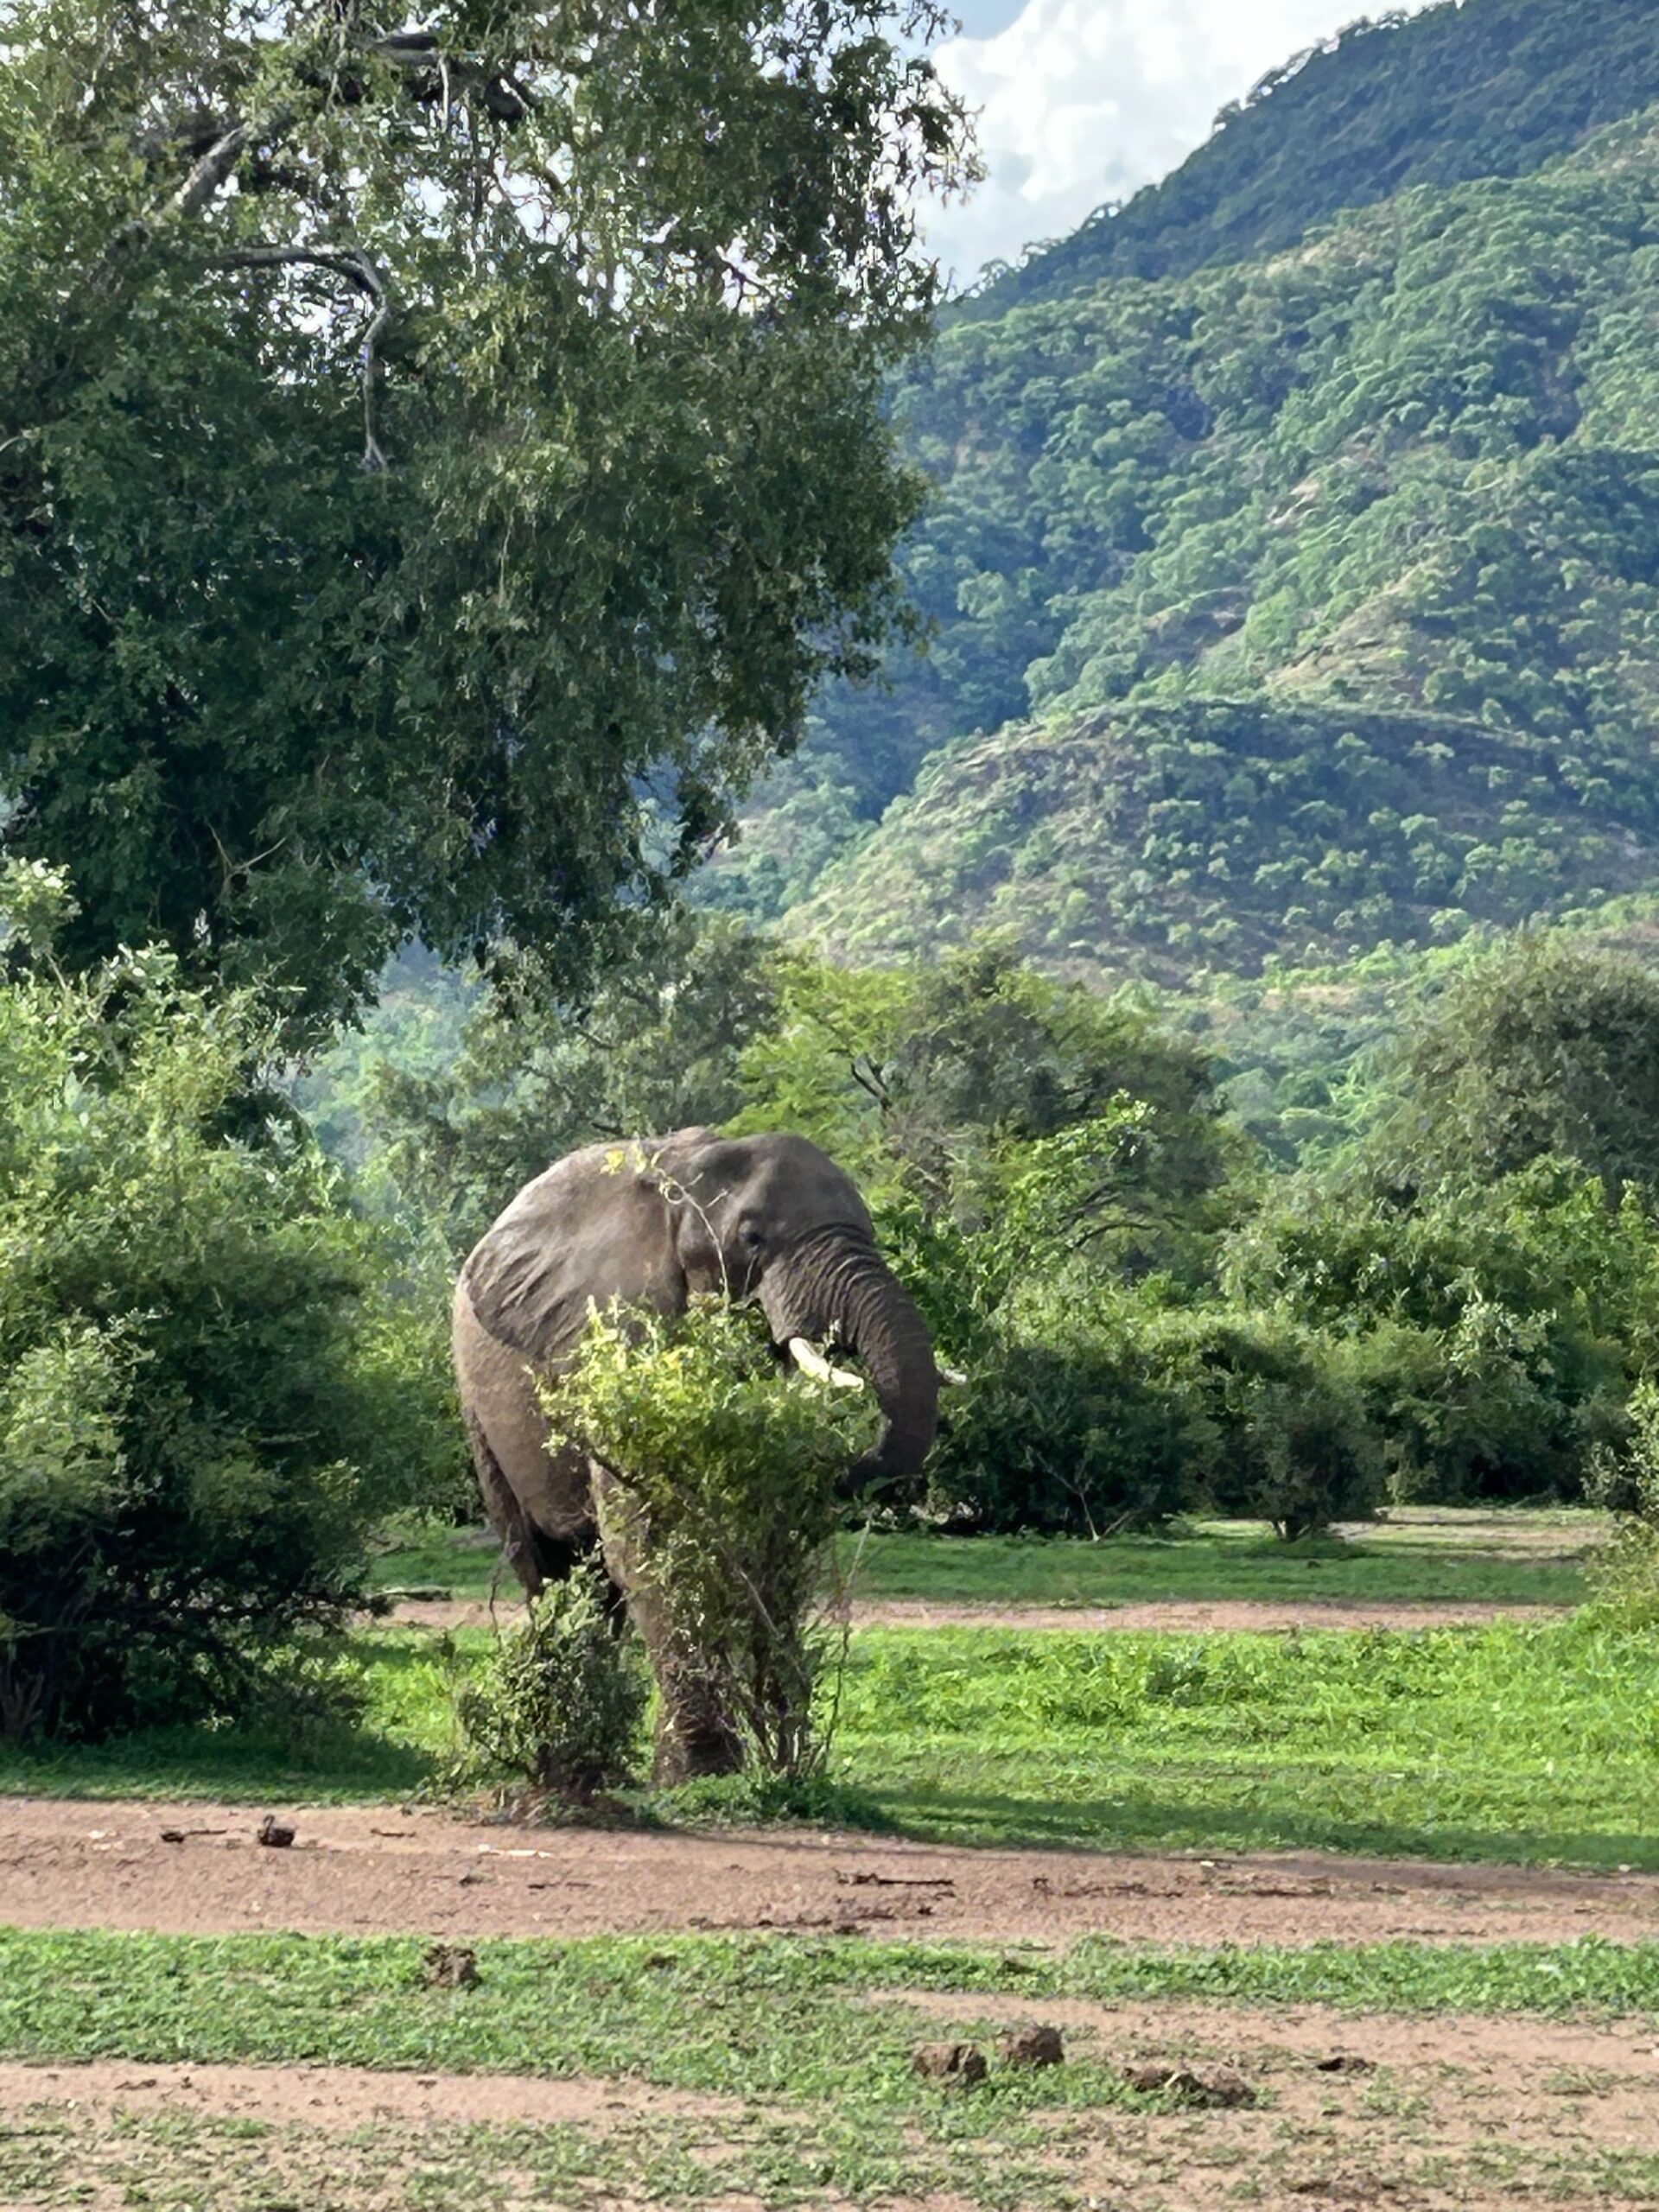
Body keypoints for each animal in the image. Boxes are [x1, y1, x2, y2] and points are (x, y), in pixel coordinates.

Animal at [452, 1126, 939, 1781]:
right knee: (541, 1564)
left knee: (596, 1588)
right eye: (752, 1239)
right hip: (476, 1403)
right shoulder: (615, 1341)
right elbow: (652, 1538)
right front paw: (704, 1772)